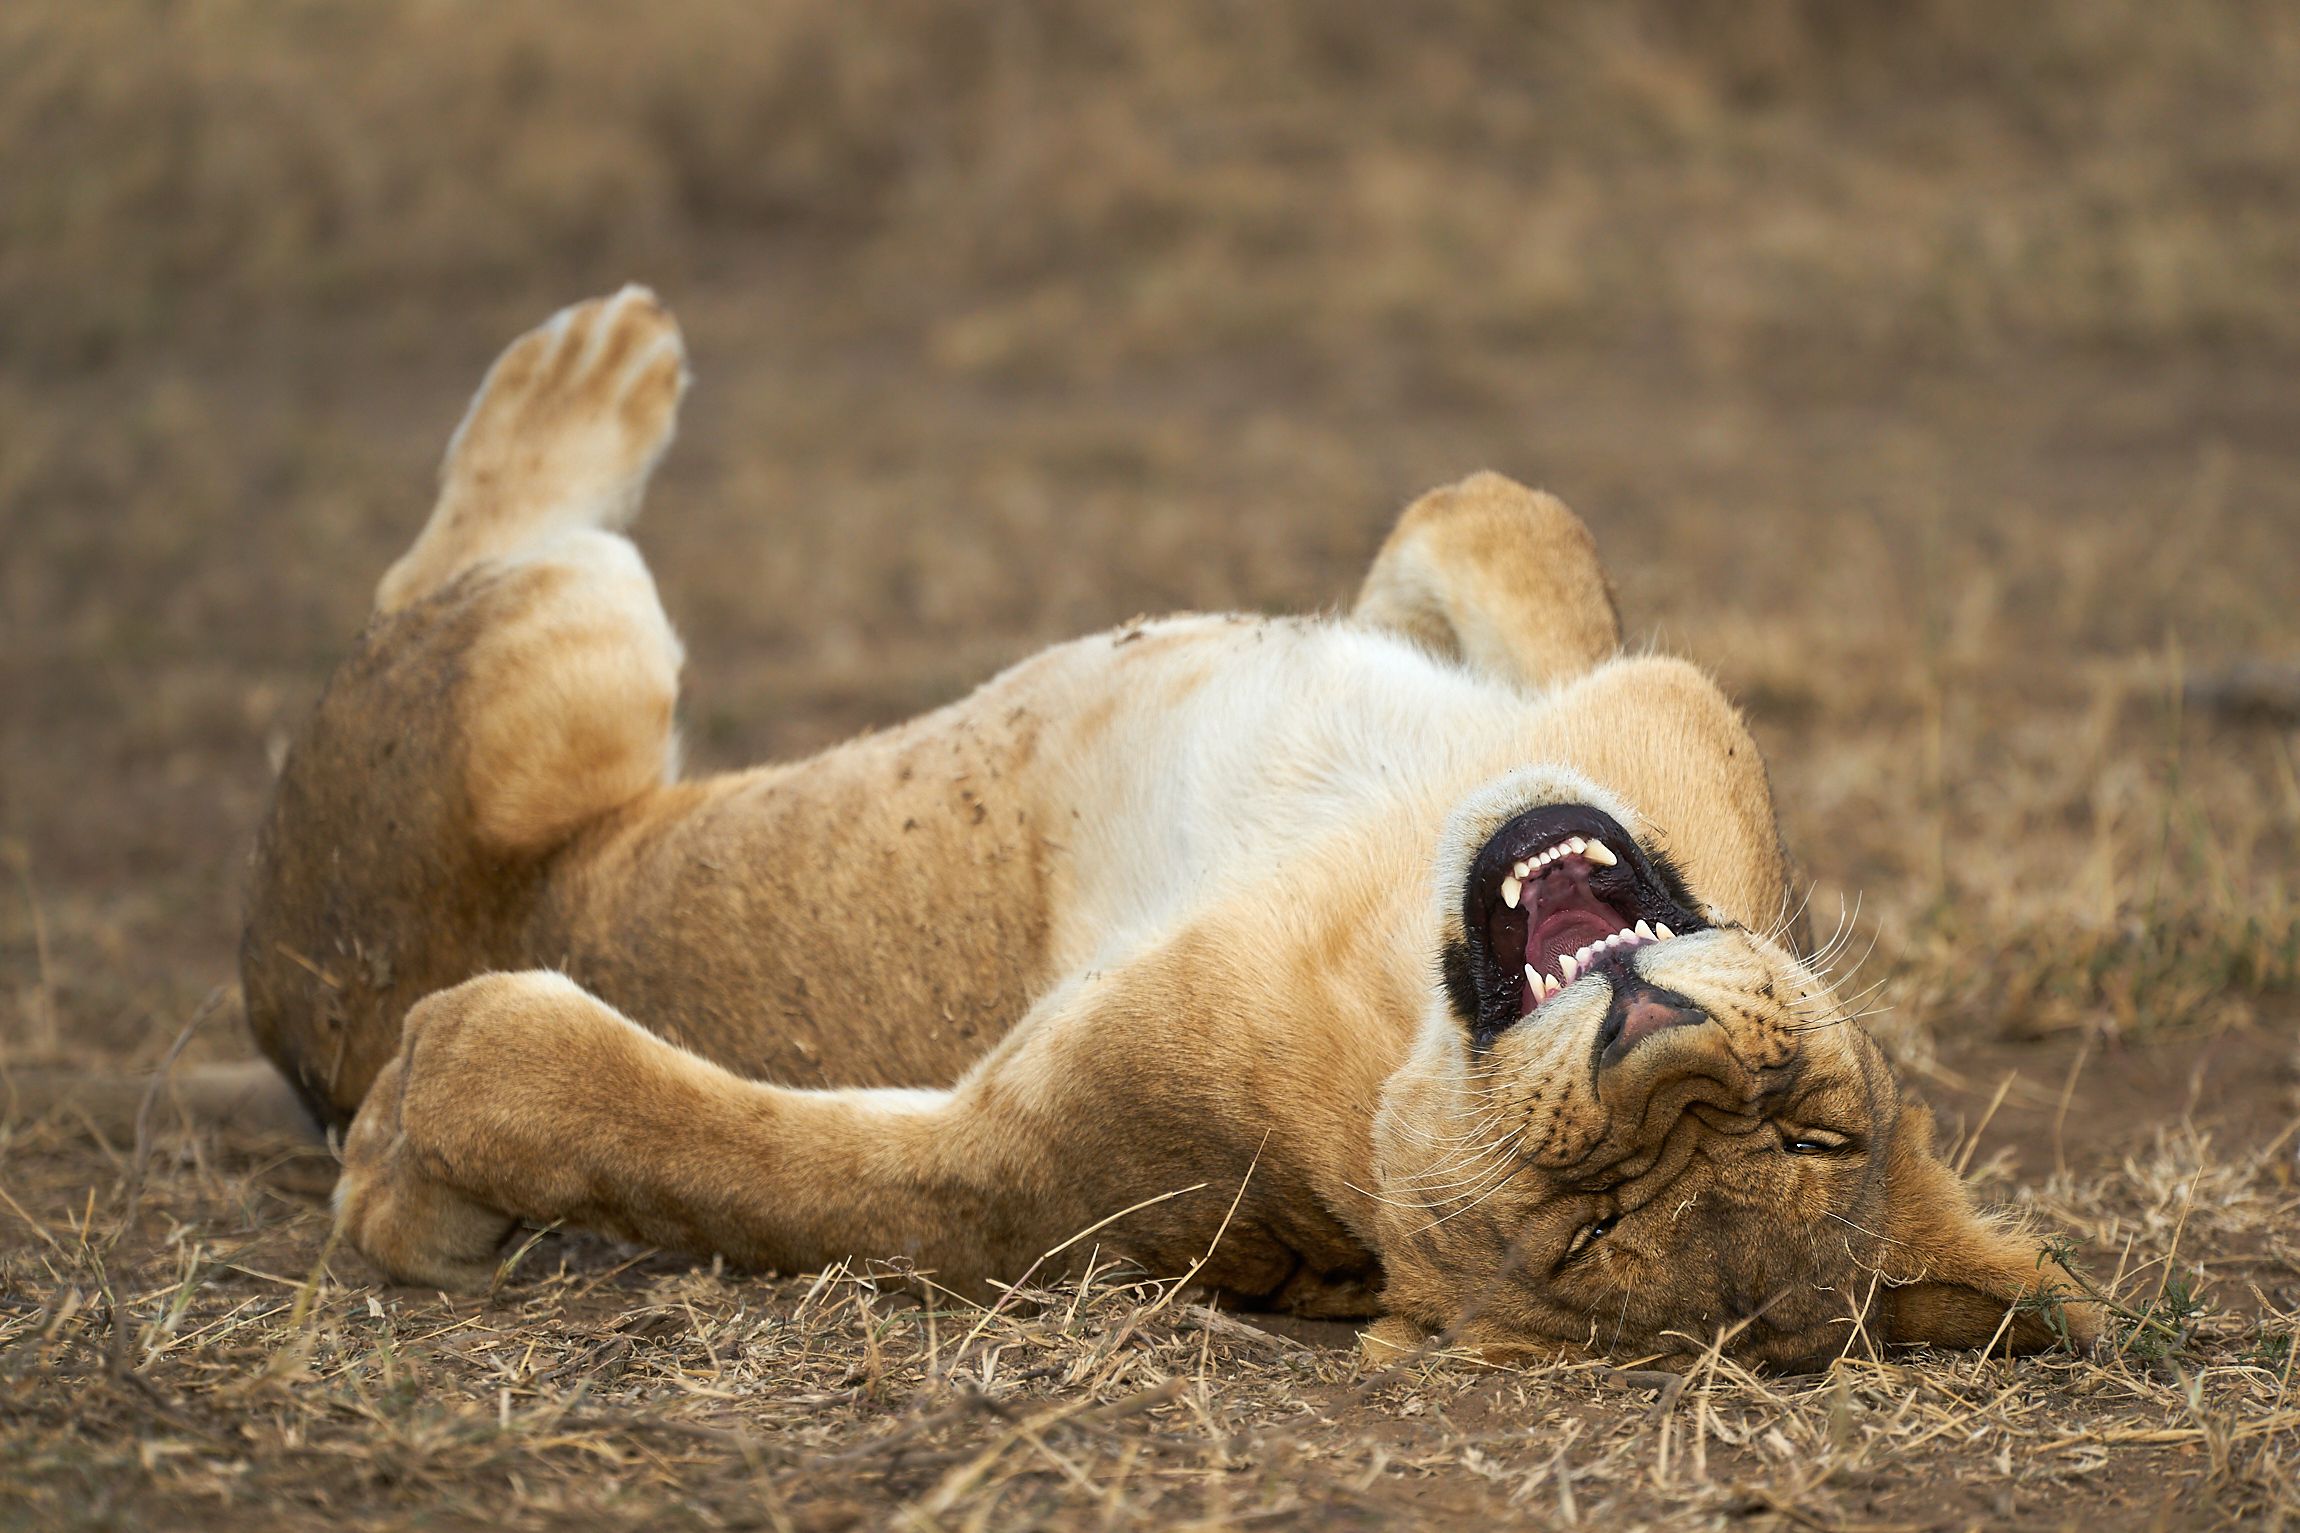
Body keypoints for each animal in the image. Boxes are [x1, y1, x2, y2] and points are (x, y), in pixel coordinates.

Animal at [234, 286, 2098, 1369]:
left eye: (1586, 1229)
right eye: (1817, 1132)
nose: (1667, 1050)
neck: (1388, 928)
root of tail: (278, 999)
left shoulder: (1024, 1179)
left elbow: (690, 1140)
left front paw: (411, 1164)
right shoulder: (1623, 702)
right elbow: (1504, 513)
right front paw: (1392, 590)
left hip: (563, 659)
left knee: (475, 571)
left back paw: (587, 373)